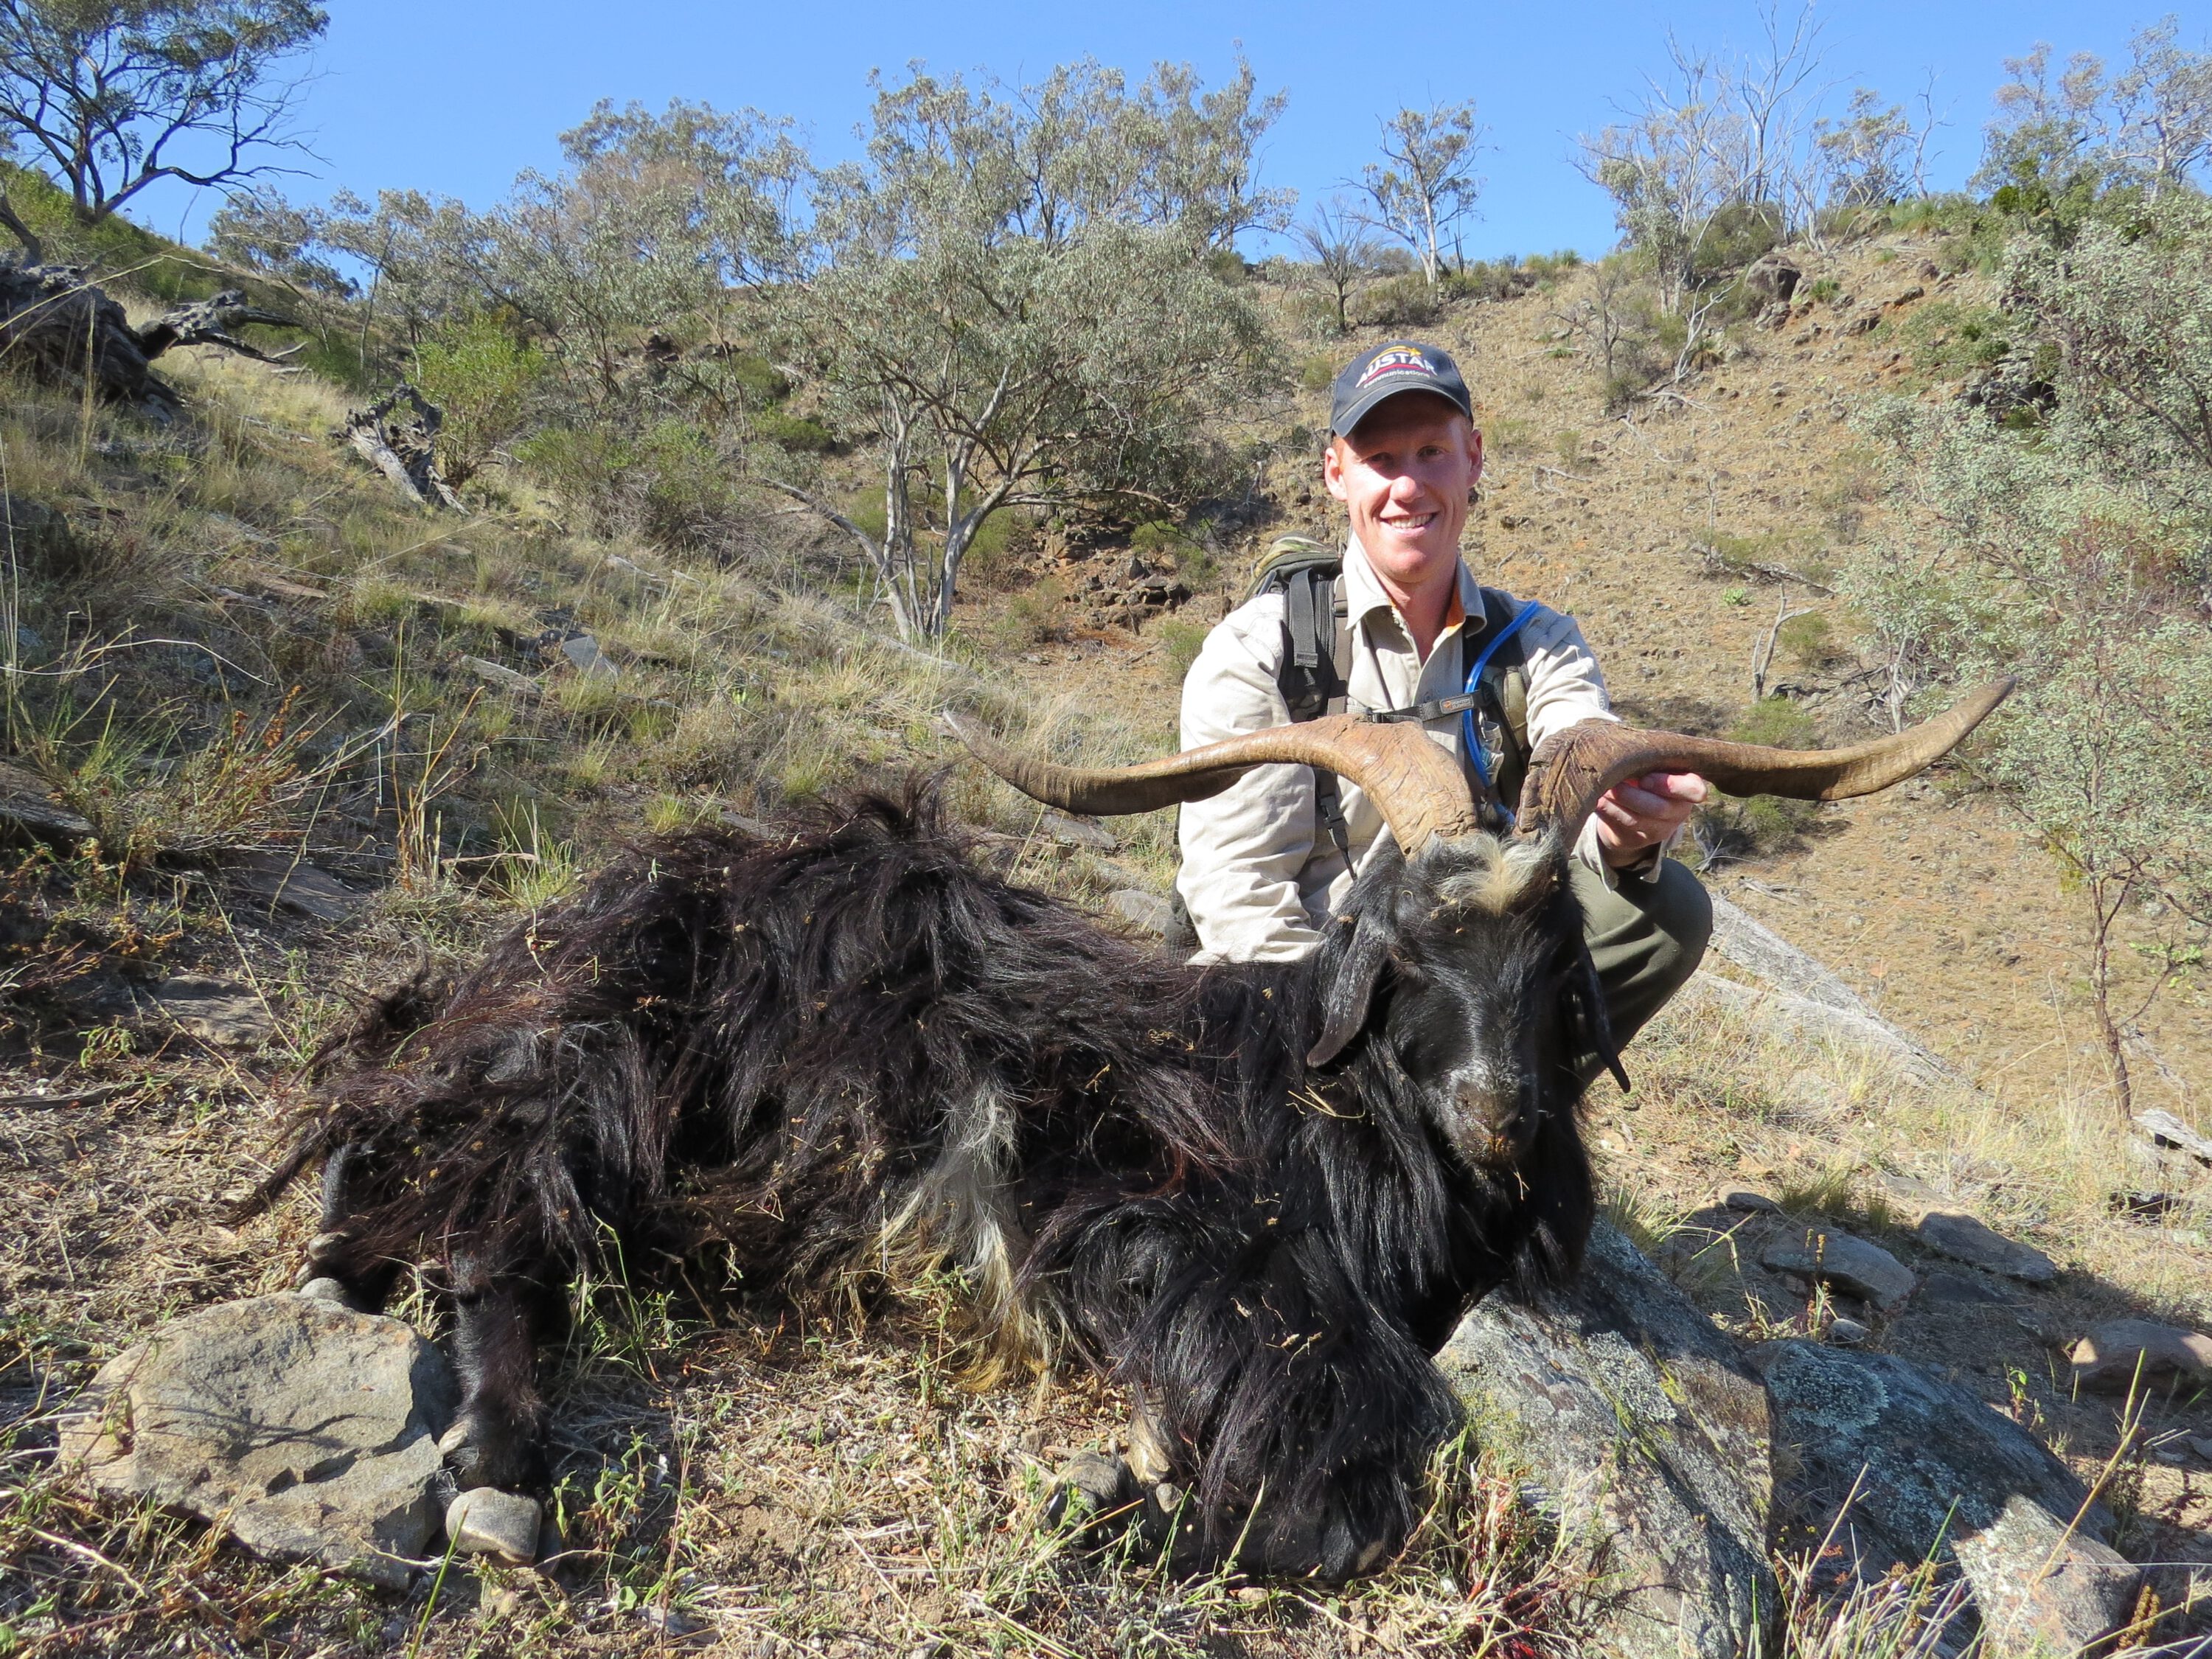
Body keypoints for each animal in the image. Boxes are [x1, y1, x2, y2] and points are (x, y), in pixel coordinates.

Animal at [251, 690, 2017, 1584]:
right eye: (1404, 946)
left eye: (1556, 957)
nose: (1501, 1118)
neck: (1321, 1102)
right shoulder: (1174, 1245)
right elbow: (1343, 1500)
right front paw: (1111, 1504)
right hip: (614, 1065)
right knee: (500, 1217)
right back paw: (495, 1461)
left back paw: (357, 1269)